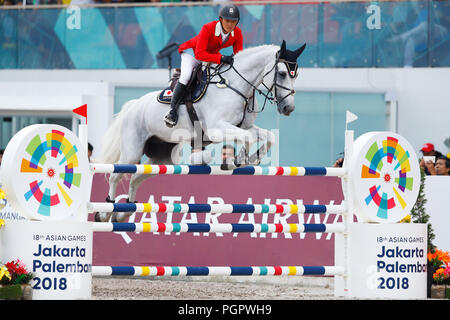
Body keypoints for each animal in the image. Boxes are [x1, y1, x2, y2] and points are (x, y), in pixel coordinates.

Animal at [95, 40, 306, 221]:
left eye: (295, 75)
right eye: (282, 73)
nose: (288, 108)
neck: (235, 85)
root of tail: (133, 106)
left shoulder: (243, 126)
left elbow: (268, 137)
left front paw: (249, 159)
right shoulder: (216, 128)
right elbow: (246, 137)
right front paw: (238, 160)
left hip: (163, 159)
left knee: (135, 178)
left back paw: (123, 213)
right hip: (132, 151)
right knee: (115, 175)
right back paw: (105, 212)